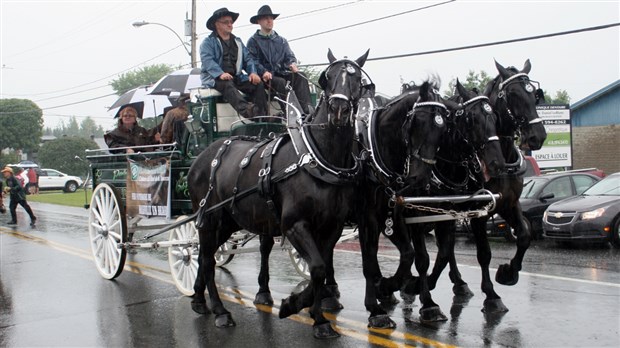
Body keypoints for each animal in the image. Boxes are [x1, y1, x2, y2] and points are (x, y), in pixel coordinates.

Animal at [186, 48, 370, 338]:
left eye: (358, 81)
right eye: (327, 78)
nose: (339, 110)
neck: (318, 158)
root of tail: (201, 157)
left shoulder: (332, 225)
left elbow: (322, 266)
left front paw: (318, 316)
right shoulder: (294, 224)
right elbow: (318, 268)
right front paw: (294, 305)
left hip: (228, 222)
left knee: (207, 256)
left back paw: (198, 299)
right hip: (209, 219)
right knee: (206, 259)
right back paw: (220, 311)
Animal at [426, 59, 548, 312]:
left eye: (535, 95)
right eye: (513, 94)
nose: (537, 136)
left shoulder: (508, 204)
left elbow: (524, 234)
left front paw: (508, 273)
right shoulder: (478, 213)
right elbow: (484, 252)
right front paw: (491, 295)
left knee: (446, 246)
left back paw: (459, 283)